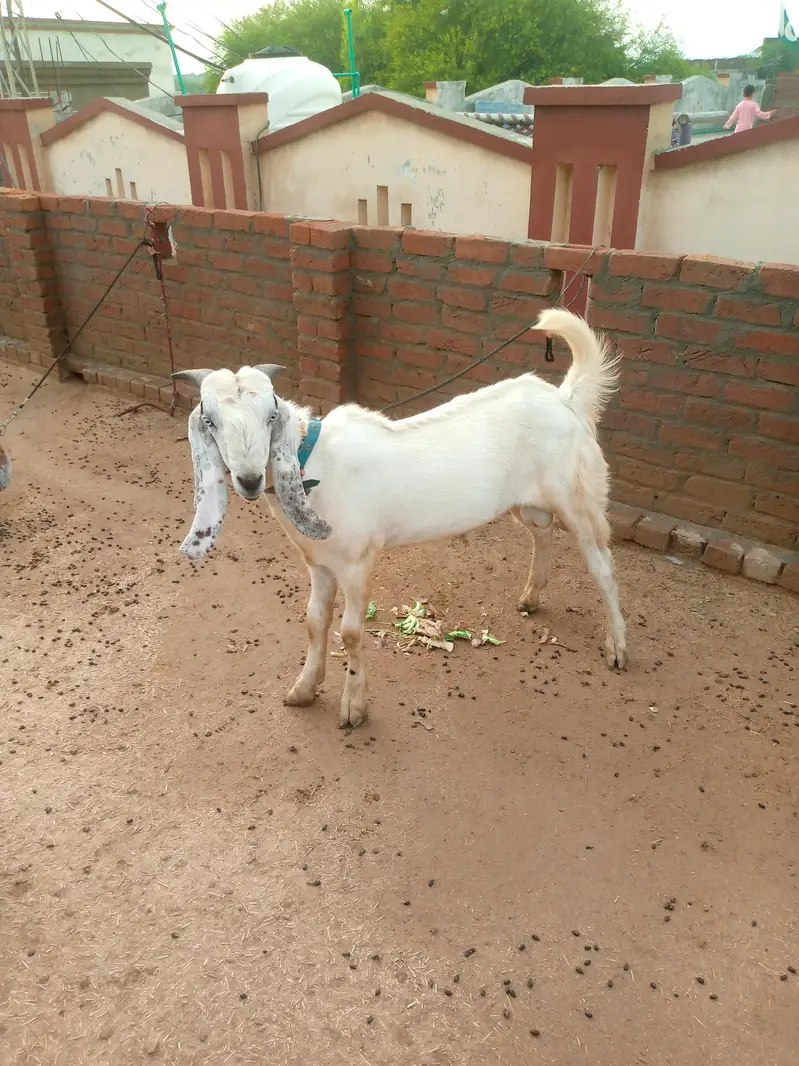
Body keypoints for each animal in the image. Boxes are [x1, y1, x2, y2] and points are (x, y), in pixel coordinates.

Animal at [174, 308, 626, 728]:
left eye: (271, 416)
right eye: (209, 421)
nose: (250, 480)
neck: (313, 465)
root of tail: (566, 399)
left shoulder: (358, 560)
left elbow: (351, 632)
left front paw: (353, 708)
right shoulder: (319, 562)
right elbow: (314, 621)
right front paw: (303, 689)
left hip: (579, 496)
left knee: (603, 567)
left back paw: (617, 647)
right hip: (525, 501)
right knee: (542, 533)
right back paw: (532, 596)